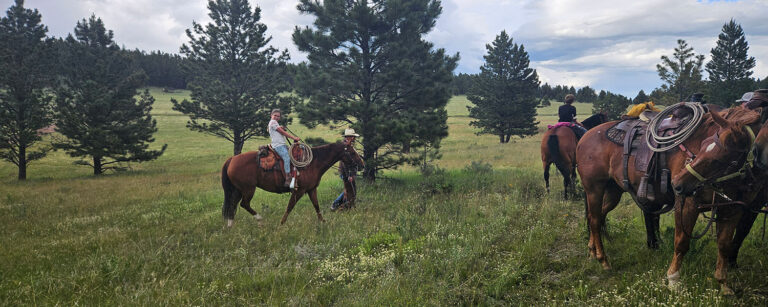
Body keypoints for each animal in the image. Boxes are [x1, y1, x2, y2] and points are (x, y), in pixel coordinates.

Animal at [220, 143, 364, 227]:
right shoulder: (299, 190)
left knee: (232, 205)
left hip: (238, 190)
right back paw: (259, 219)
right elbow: (290, 207)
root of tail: (232, 159)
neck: (313, 163)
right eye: (352, 152)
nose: (362, 165)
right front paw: (282, 224)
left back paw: (230, 225)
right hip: (248, 189)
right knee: (244, 204)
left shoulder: (311, 189)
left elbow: (316, 206)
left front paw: (323, 222)